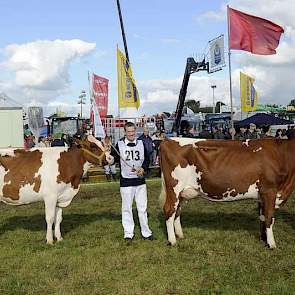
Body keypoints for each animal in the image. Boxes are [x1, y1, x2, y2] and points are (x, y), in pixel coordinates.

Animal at [161, 138, 295, 249]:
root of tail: (167, 140)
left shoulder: (262, 195)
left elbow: (262, 217)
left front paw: (263, 239)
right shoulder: (269, 190)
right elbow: (269, 217)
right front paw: (272, 244)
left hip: (181, 193)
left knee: (177, 211)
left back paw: (180, 235)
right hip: (174, 188)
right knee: (169, 209)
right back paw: (172, 241)